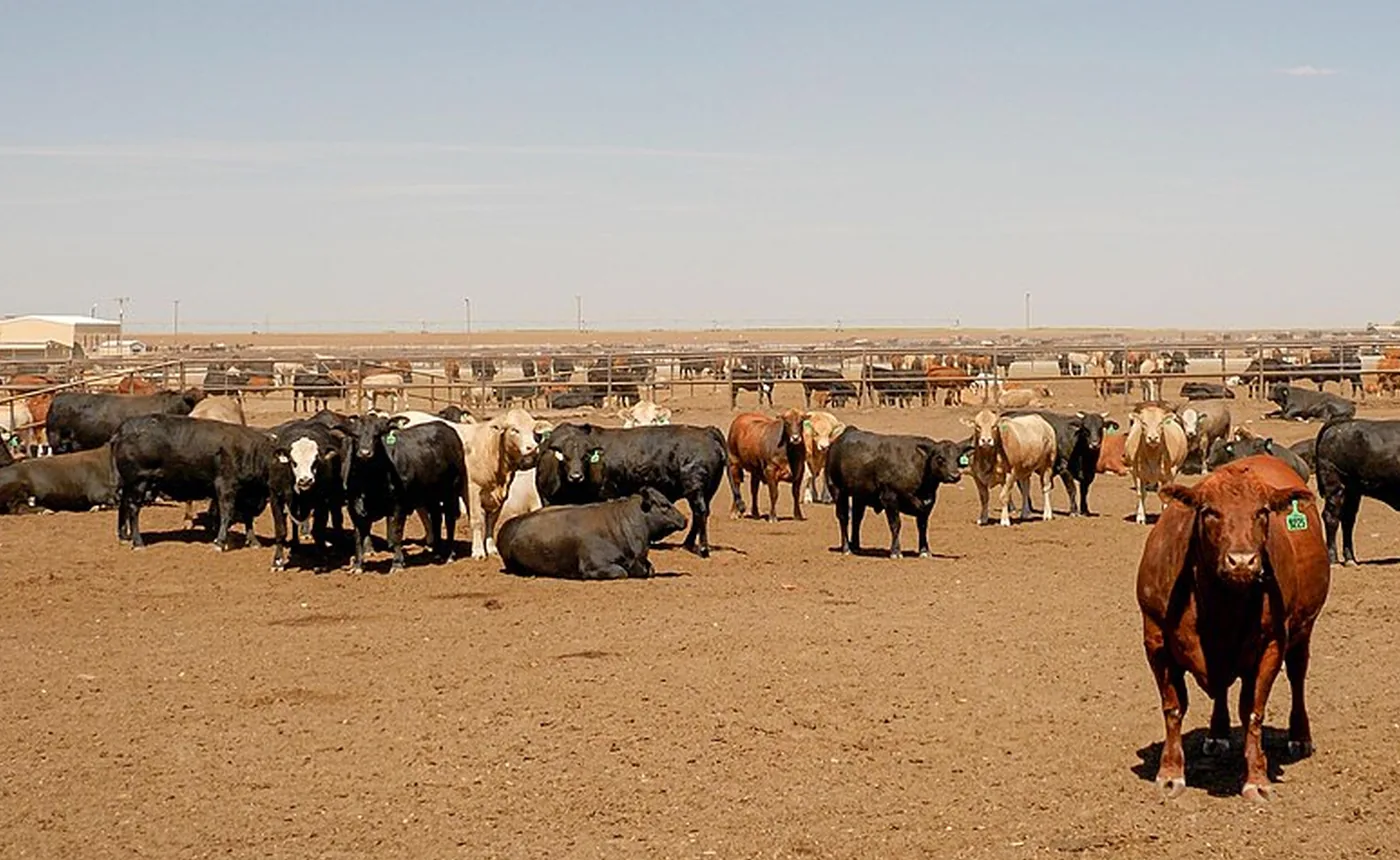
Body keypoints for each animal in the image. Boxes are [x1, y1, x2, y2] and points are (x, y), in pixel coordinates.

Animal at [110, 414, 275, 551]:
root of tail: (122, 430)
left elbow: (246, 517)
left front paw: (253, 541)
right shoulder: (225, 486)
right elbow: (226, 513)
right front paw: (220, 542)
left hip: (128, 484)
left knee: (123, 504)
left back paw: (124, 536)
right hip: (139, 482)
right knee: (133, 508)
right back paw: (138, 542)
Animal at [341, 413, 466, 573]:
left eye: (377, 435)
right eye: (355, 435)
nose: (365, 453)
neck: (370, 482)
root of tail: (446, 428)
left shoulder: (399, 505)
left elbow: (396, 533)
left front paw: (397, 563)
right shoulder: (354, 507)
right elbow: (358, 536)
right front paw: (358, 565)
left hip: (451, 491)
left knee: (449, 519)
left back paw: (449, 554)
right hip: (431, 496)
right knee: (436, 517)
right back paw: (437, 553)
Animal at [534, 423, 727, 558]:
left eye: (585, 456)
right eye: (563, 456)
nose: (576, 476)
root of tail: (706, 431)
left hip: (695, 487)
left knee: (700, 512)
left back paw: (703, 548)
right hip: (708, 491)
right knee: (700, 514)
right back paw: (688, 544)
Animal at [824, 427, 966, 558]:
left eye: (958, 458)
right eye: (940, 458)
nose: (955, 476)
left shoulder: (927, 504)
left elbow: (922, 526)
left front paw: (924, 551)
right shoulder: (890, 498)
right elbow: (896, 524)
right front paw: (896, 551)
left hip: (859, 496)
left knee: (857, 518)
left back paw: (856, 547)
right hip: (837, 490)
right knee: (843, 517)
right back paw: (846, 548)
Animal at [1139, 455, 1329, 801]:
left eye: (1262, 511)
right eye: (1209, 511)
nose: (1242, 561)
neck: (1219, 607)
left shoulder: (1272, 645)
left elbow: (1253, 712)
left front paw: (1257, 779)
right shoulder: (1155, 640)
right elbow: (1173, 707)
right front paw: (1170, 774)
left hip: (1303, 631)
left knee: (1297, 676)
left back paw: (1300, 736)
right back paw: (1217, 734)